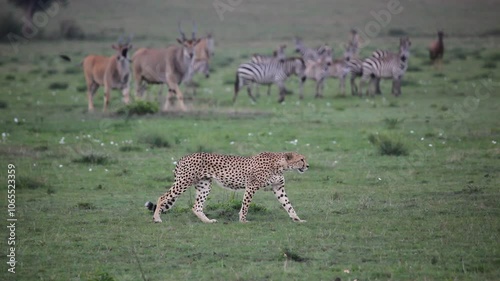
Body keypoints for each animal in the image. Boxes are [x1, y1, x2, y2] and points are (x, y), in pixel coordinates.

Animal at [146, 151, 308, 223]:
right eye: (301, 159)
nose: (308, 166)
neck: (280, 165)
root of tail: (184, 157)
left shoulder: (278, 188)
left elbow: (288, 204)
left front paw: (297, 218)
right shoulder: (251, 186)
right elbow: (245, 205)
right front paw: (243, 220)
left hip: (204, 186)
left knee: (196, 206)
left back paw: (207, 221)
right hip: (183, 182)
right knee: (162, 197)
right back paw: (157, 218)